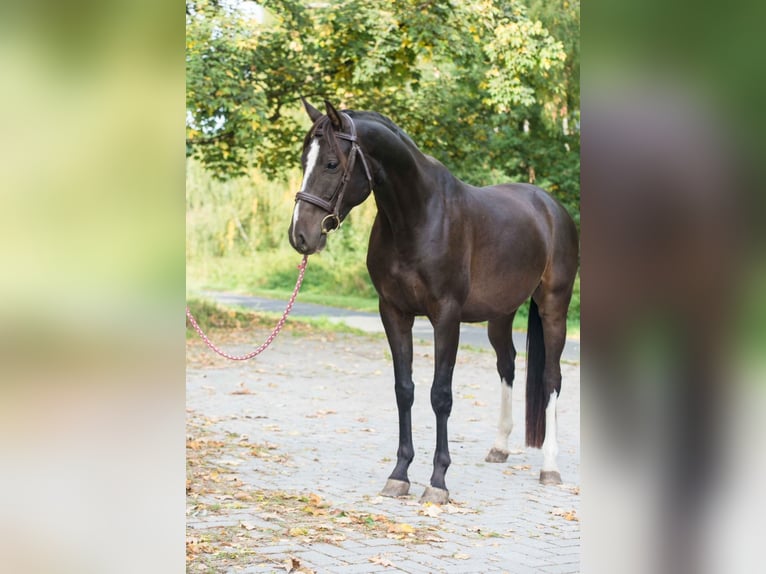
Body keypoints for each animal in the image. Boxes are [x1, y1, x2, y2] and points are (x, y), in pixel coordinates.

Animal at [292, 99, 580, 504]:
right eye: (305, 160)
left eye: (331, 163)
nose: (300, 235)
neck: (418, 216)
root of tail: (550, 207)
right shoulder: (393, 313)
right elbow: (404, 390)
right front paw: (399, 474)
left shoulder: (446, 316)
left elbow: (440, 395)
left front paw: (438, 480)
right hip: (501, 315)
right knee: (507, 365)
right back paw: (500, 447)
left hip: (555, 307)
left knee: (551, 377)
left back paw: (550, 467)